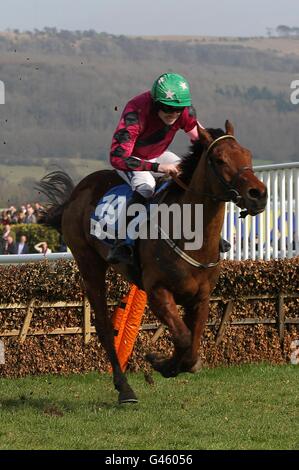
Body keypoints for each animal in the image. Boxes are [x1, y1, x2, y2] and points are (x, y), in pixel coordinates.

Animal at [36, 121, 268, 404]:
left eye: (248, 155)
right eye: (220, 159)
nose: (258, 194)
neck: (190, 234)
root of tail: (74, 194)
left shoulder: (200, 297)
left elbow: (191, 346)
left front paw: (172, 364)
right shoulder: (157, 291)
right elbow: (183, 338)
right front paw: (159, 362)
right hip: (89, 263)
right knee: (104, 327)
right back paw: (124, 388)